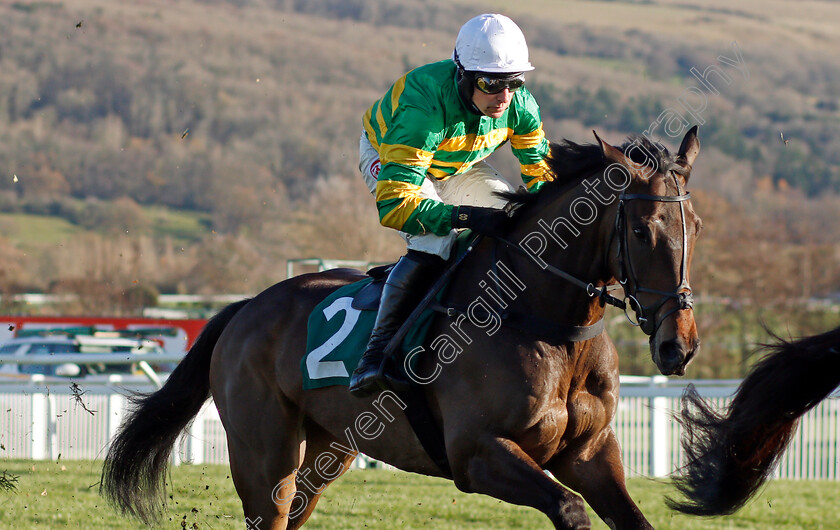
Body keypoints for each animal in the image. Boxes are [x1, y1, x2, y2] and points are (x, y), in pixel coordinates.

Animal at [100, 126, 704, 524]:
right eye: (643, 230)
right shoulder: (476, 453)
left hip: (327, 450)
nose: (679, 345)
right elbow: (569, 507)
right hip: (263, 456)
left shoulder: (590, 453)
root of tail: (246, 307)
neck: (547, 325)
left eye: (695, 224)